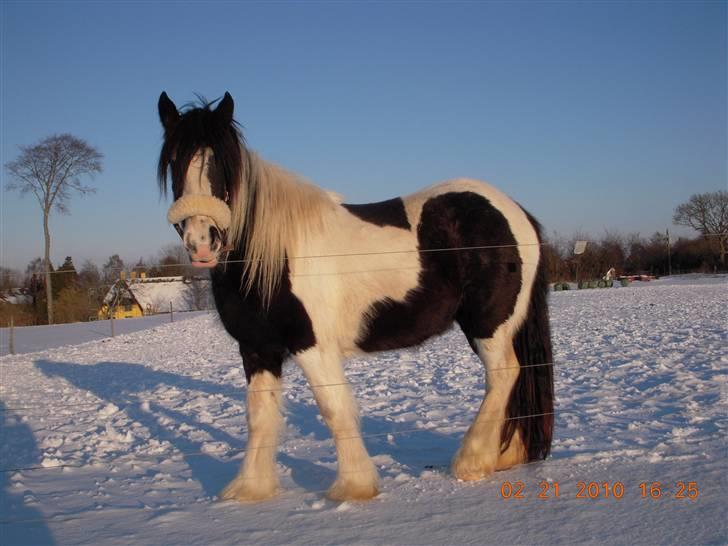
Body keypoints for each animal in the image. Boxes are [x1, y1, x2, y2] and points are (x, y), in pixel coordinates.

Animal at [158, 91, 552, 500]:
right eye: (173, 161)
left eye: (223, 162)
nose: (202, 242)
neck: (270, 255)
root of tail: (515, 211)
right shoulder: (257, 350)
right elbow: (259, 418)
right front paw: (250, 488)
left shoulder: (312, 345)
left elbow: (334, 410)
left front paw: (353, 486)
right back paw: (503, 456)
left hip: (488, 323)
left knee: (504, 374)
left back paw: (472, 461)